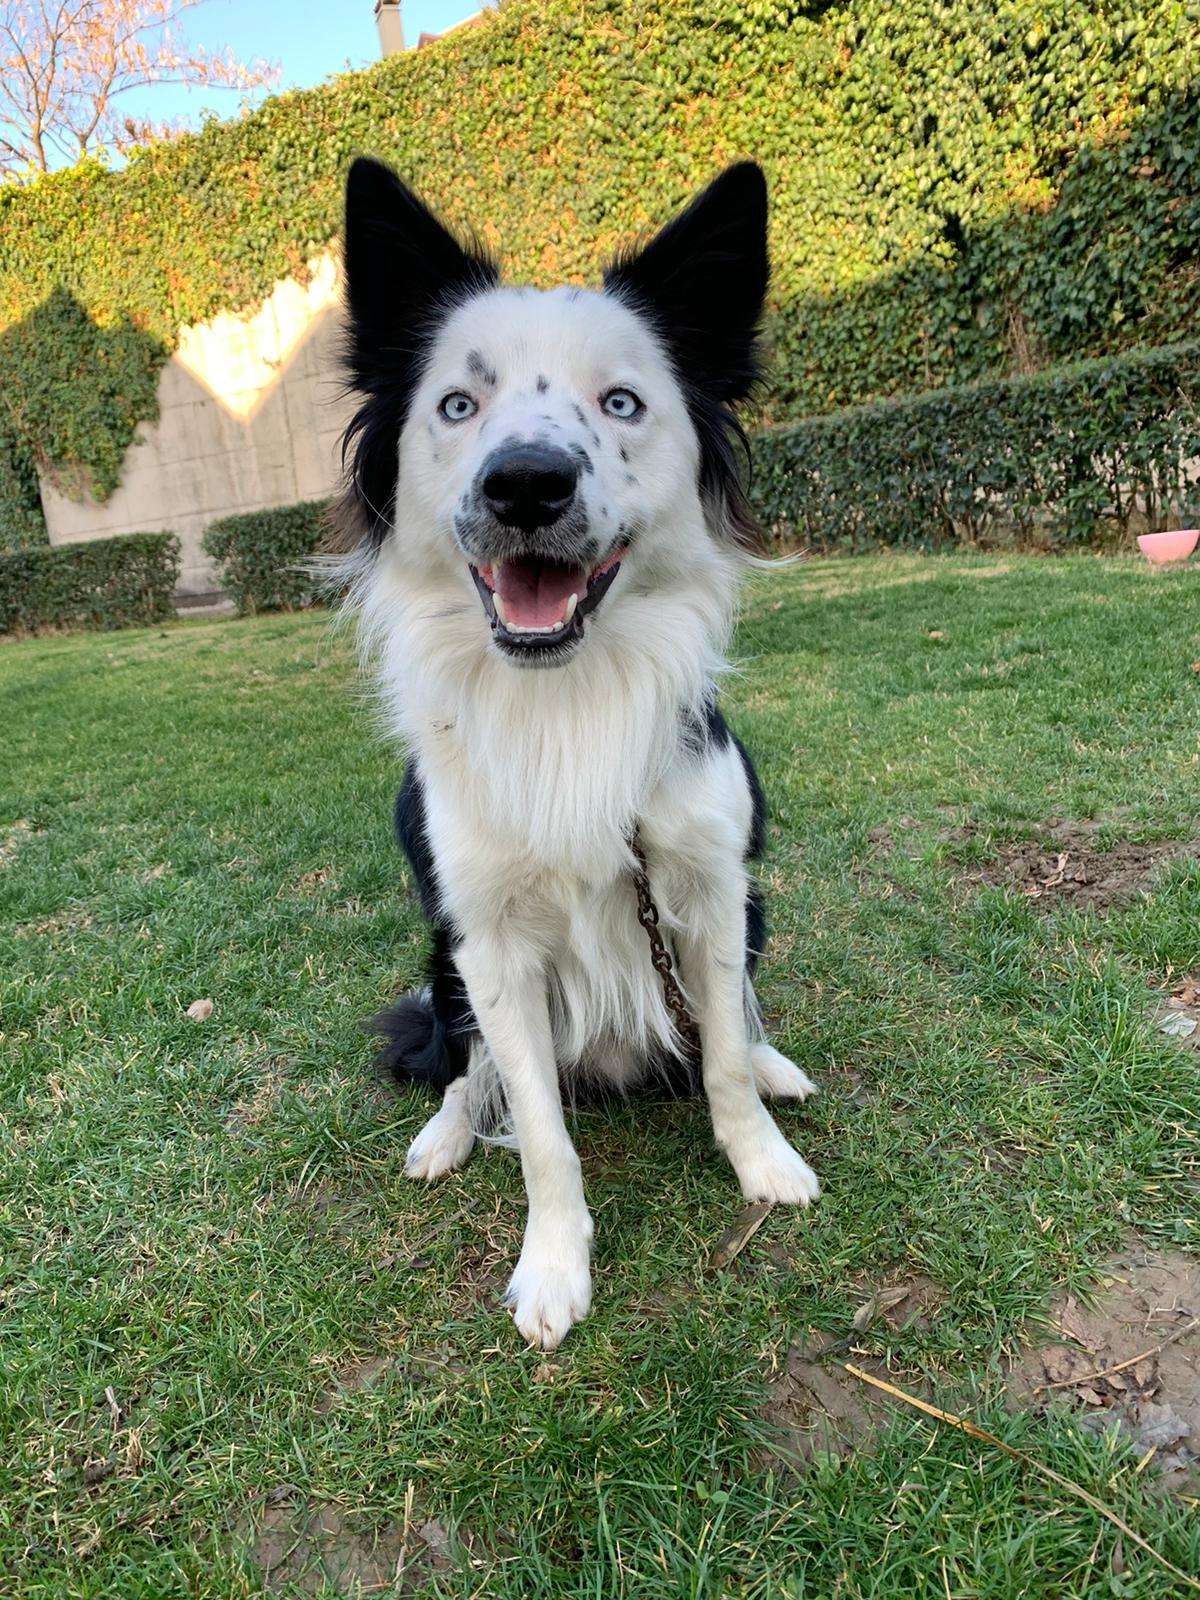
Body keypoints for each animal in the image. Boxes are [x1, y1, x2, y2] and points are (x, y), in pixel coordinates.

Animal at [336, 152, 825, 1350]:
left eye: (622, 403)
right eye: (458, 405)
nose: (525, 483)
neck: (566, 695)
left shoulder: (706, 887)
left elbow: (723, 1061)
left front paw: (763, 1162)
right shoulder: (490, 944)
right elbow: (542, 1132)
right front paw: (553, 1267)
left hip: (754, 908)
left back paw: (779, 1067)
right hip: (442, 959)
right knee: (462, 1067)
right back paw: (444, 1135)